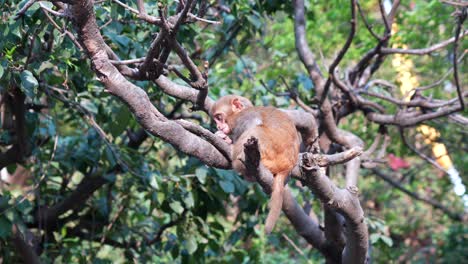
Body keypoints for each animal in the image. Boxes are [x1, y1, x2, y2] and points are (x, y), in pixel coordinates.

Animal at [209, 95, 298, 233]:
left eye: (219, 117)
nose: (218, 127)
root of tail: (287, 166)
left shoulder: (244, 118)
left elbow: (254, 123)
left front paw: (227, 140)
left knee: (257, 129)